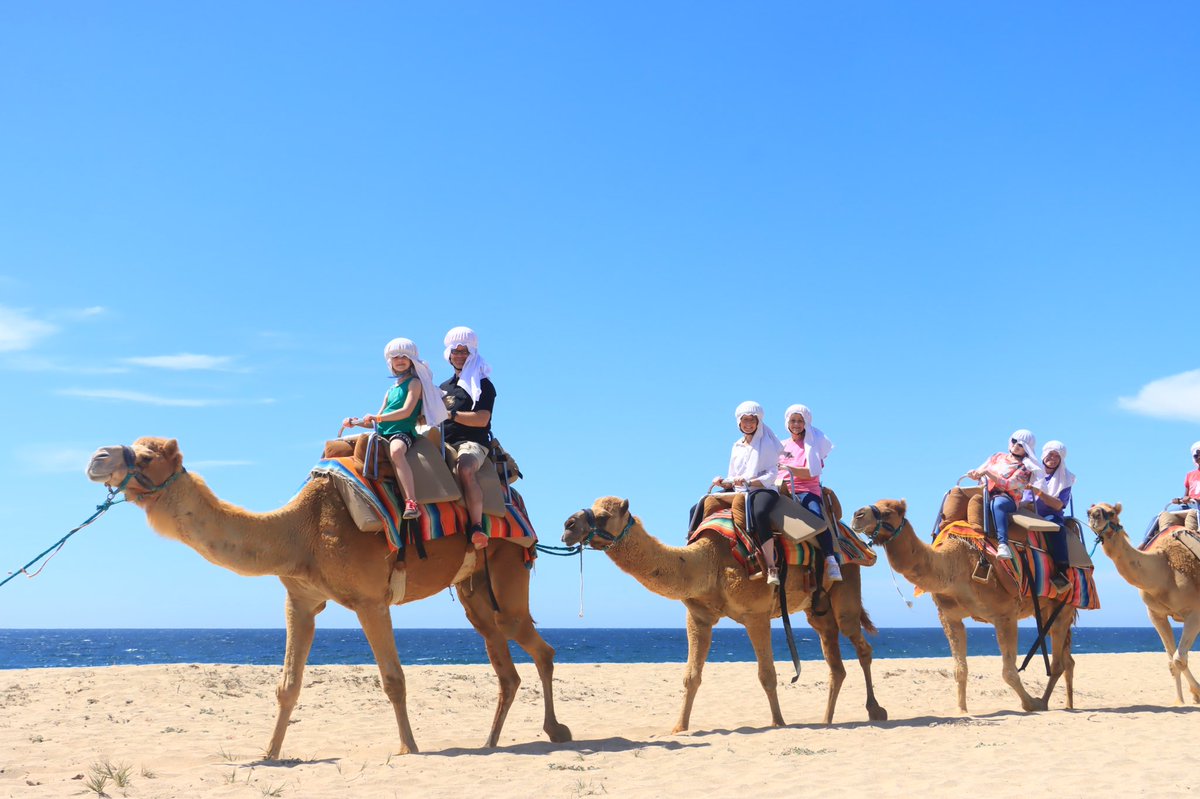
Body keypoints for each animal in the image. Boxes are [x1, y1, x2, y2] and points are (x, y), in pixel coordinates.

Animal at [85, 437, 571, 757]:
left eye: (147, 455)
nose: (96, 457)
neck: (300, 531)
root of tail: (514, 497)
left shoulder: (371, 600)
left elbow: (393, 680)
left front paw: (408, 748)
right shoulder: (300, 600)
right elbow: (288, 686)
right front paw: (269, 754)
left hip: (507, 565)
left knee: (536, 645)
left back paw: (555, 731)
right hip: (475, 589)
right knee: (505, 664)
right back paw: (489, 743)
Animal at [561, 496, 887, 733]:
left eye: (604, 515)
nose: (568, 524)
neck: (708, 561)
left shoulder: (756, 613)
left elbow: (767, 674)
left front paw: (778, 723)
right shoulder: (698, 617)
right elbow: (691, 676)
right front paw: (679, 728)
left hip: (846, 583)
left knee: (860, 644)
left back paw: (875, 710)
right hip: (816, 608)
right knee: (835, 660)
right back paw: (826, 720)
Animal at [849, 499, 1076, 713]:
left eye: (888, 511)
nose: (857, 514)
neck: (956, 567)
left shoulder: (1005, 615)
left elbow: (1009, 672)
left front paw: (1031, 704)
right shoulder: (949, 617)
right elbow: (960, 669)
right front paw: (962, 710)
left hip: (1064, 606)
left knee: (1057, 663)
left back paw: (1044, 702)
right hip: (1046, 611)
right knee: (1067, 660)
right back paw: (1068, 704)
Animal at [1087, 502, 1200, 704]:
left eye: (1111, 512)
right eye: (1089, 510)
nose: (1094, 515)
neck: (1164, 571)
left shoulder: (1194, 613)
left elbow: (1179, 658)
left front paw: (1196, 694)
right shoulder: (1156, 615)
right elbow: (1172, 660)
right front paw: (1180, 701)